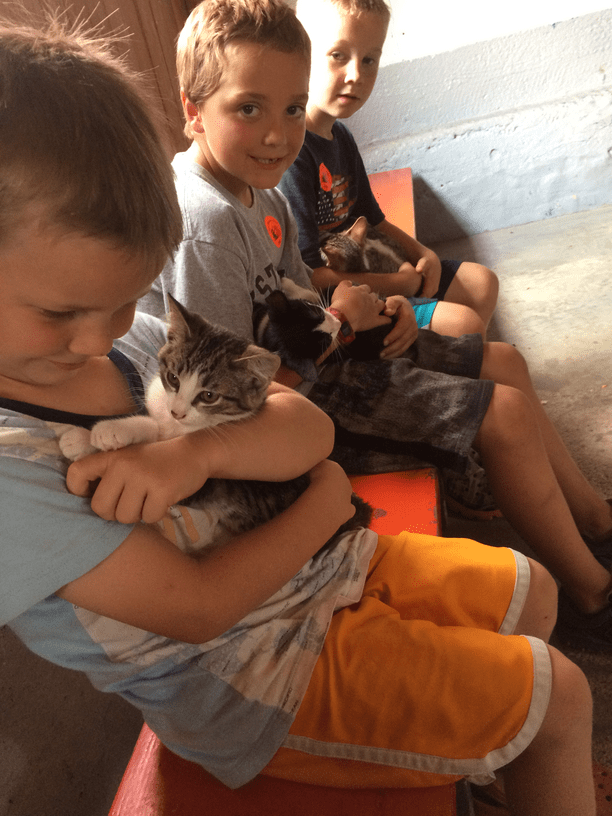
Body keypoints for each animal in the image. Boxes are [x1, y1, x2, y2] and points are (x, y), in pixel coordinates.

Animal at [58, 294, 372, 548]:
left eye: (209, 396)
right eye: (173, 378)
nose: (177, 412)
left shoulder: (212, 488)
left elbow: (157, 442)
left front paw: (107, 433)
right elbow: (154, 425)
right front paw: (85, 436)